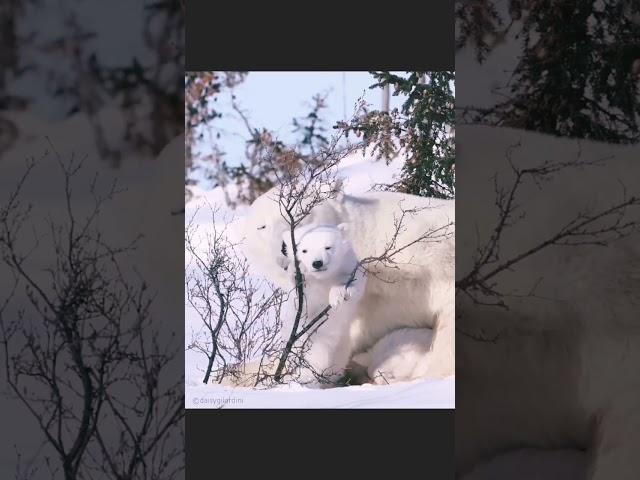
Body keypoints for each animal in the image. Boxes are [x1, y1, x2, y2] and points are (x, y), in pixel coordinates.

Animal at [278, 223, 364, 384]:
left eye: (328, 247)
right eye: (304, 250)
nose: (317, 263)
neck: (323, 279)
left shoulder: (349, 267)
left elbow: (356, 284)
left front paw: (338, 296)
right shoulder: (306, 296)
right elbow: (303, 296)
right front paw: (297, 273)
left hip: (340, 345)